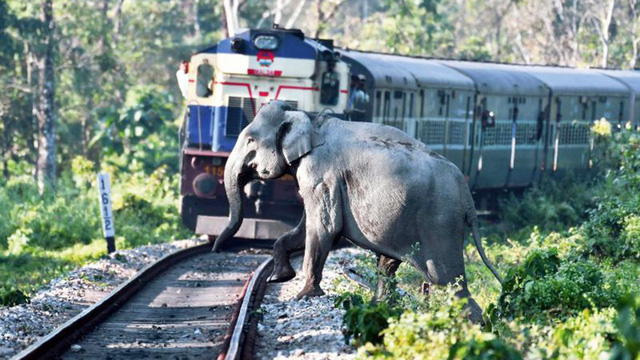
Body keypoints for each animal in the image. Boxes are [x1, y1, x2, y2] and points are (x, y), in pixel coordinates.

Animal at [212, 100, 502, 322]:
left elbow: (324, 228)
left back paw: (474, 325)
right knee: (390, 264)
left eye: (250, 140)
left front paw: (302, 295)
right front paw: (279, 277)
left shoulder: (320, 173)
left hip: (440, 222)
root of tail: (467, 196)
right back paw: (380, 305)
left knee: (448, 281)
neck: (308, 117)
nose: (215, 249)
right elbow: (306, 228)